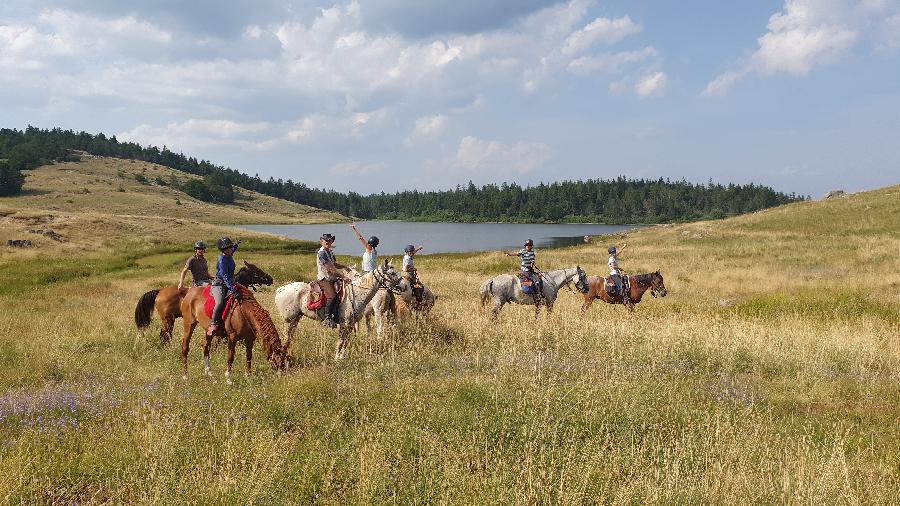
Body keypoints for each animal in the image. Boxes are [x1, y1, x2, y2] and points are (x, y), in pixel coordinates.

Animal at [272, 260, 402, 360]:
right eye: (392, 273)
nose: (403, 286)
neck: (357, 293)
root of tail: (280, 289)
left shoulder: (351, 323)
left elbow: (345, 342)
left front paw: (340, 358)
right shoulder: (345, 323)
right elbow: (340, 342)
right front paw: (336, 359)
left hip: (296, 319)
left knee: (289, 338)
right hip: (289, 320)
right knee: (286, 337)